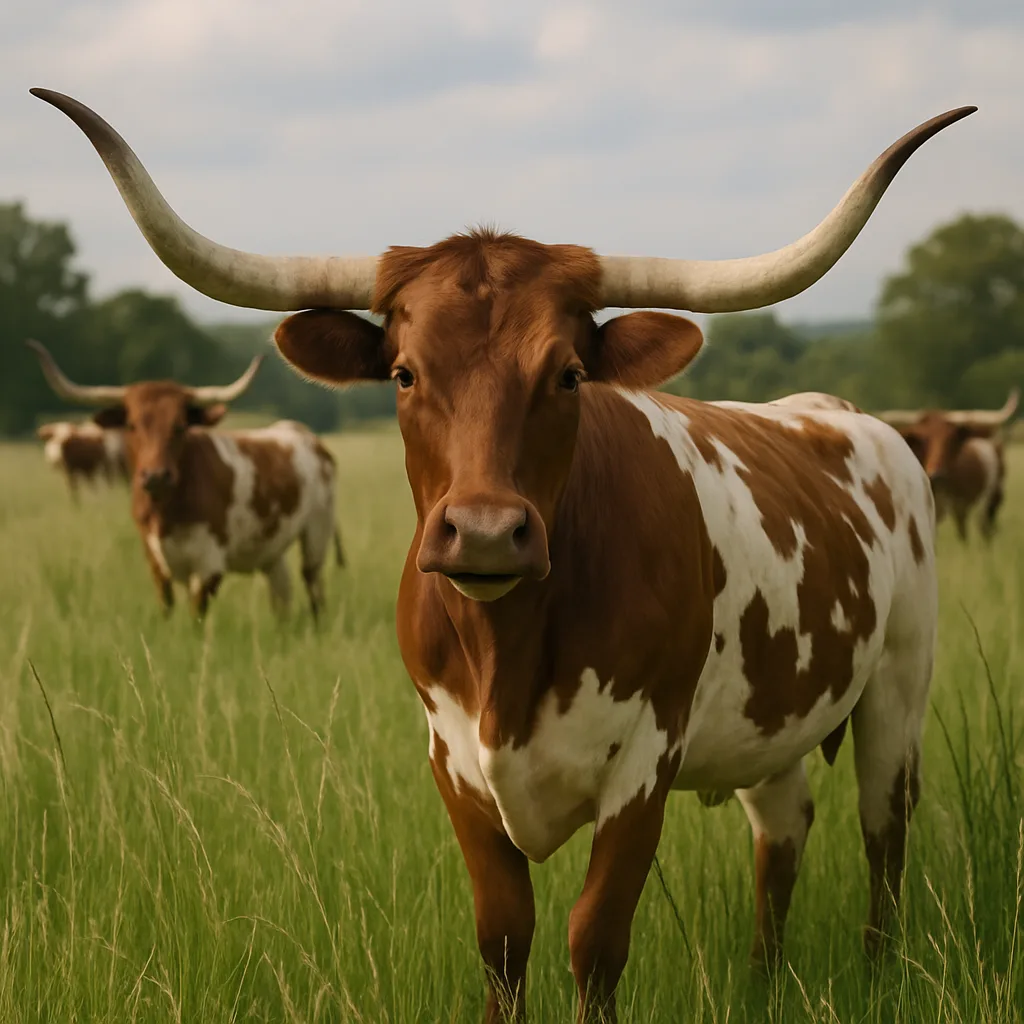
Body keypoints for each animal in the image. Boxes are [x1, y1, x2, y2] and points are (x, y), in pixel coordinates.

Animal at [27, 339, 343, 621]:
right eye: (132, 425)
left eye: (179, 426)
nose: (156, 476)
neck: (166, 511)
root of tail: (302, 434)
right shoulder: (155, 560)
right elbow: (166, 608)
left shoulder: (208, 565)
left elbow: (196, 617)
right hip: (272, 549)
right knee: (281, 592)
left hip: (317, 531)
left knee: (313, 585)